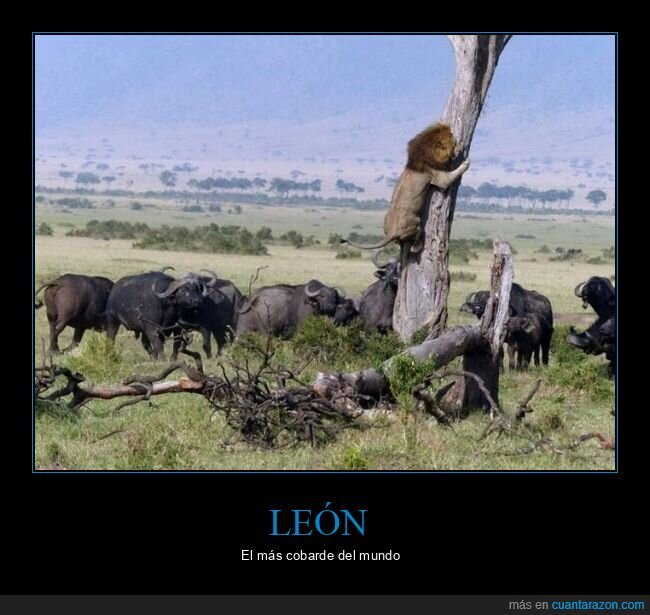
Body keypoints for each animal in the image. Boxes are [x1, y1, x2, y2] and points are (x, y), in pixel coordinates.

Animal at [342, 122, 470, 252]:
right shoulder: (438, 176)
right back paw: (418, 245)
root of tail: (391, 232)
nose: (461, 145)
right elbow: (452, 175)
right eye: (453, 141)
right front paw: (465, 162)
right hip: (416, 222)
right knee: (414, 240)